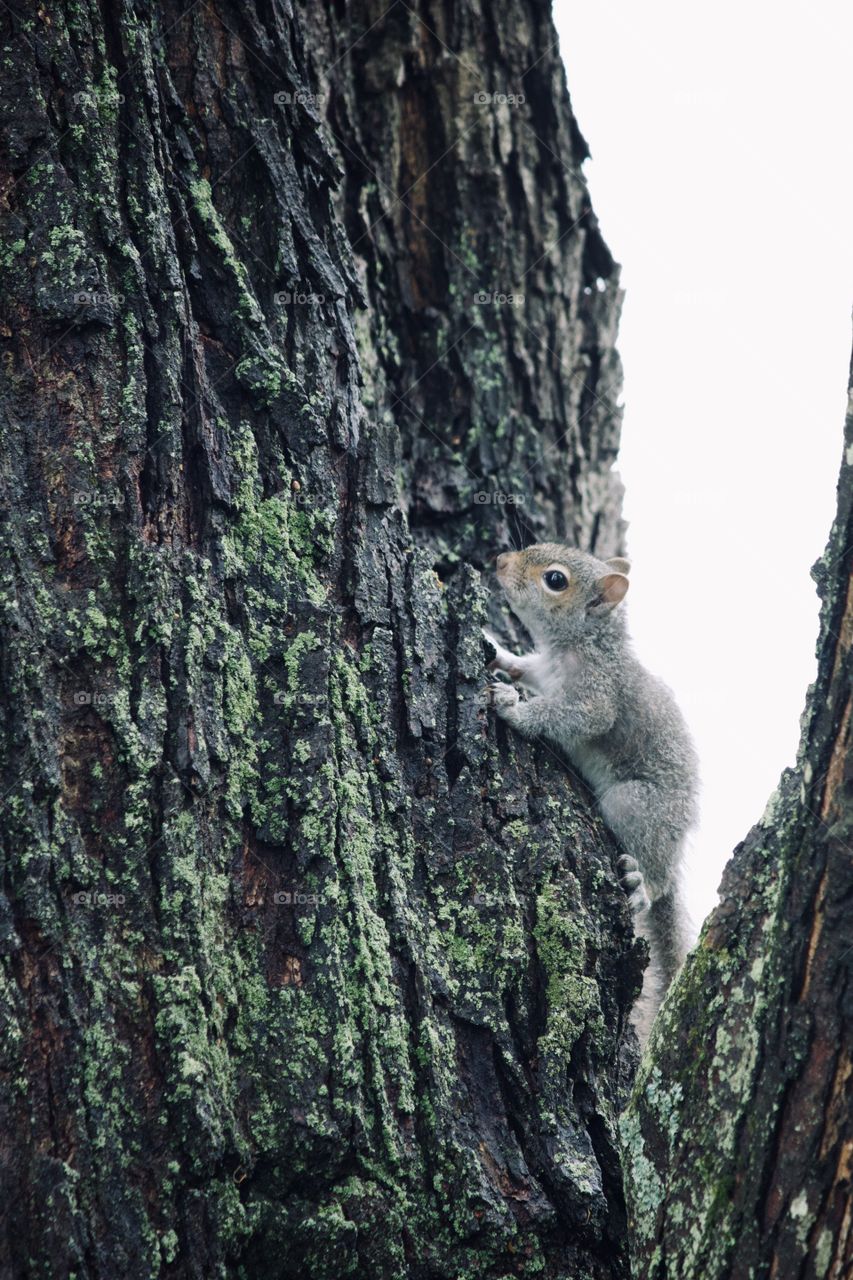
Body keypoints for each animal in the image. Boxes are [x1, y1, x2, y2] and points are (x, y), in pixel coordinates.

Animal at [482, 543, 698, 1040]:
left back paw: (642, 883)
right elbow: (525, 666)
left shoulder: (596, 694)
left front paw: (514, 709)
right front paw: (498, 651)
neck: (583, 644)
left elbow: (573, 717)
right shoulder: (544, 669)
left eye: (555, 580)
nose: (500, 561)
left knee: (655, 875)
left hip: (633, 804)